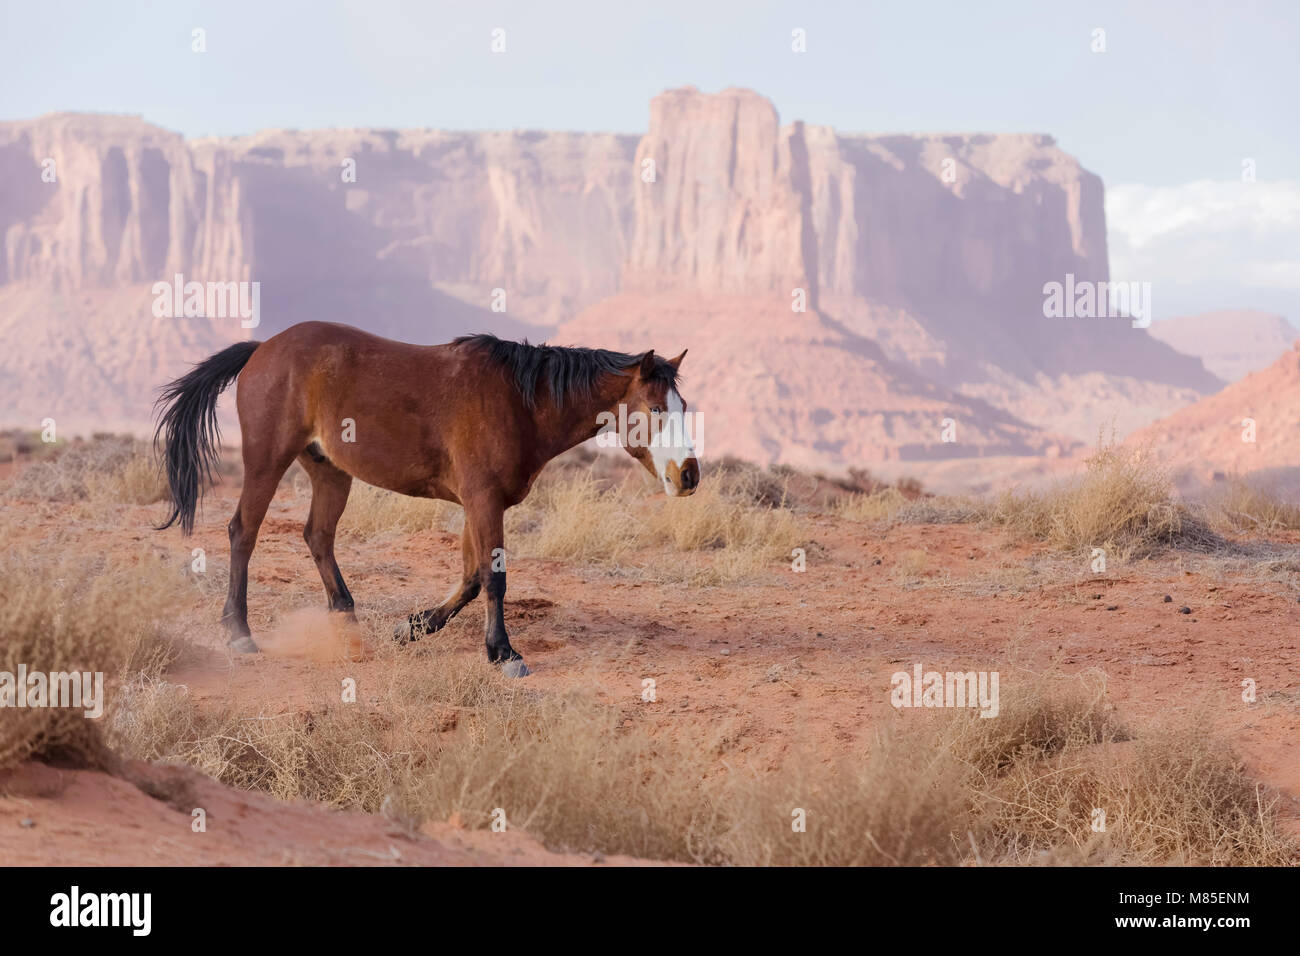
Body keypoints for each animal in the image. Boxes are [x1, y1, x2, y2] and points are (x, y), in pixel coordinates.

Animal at [154, 320, 700, 677]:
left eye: (684, 407)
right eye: (655, 408)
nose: (689, 475)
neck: (520, 402)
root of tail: (262, 348)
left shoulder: (480, 503)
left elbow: (472, 579)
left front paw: (414, 627)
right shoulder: (483, 501)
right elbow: (493, 580)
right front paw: (503, 654)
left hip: (330, 471)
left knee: (318, 536)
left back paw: (346, 620)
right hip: (268, 459)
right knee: (243, 532)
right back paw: (239, 633)